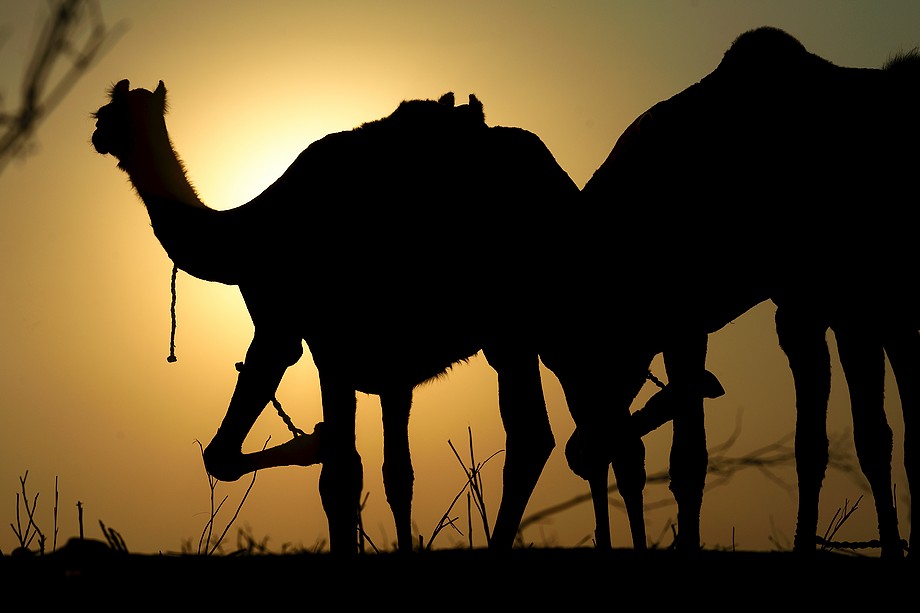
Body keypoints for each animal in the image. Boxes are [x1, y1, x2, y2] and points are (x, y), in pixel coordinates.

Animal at [91, 81, 582, 554]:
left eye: (106, 113)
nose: (97, 136)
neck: (242, 238)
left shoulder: (294, 333)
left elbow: (314, 471)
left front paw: (316, 440)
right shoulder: (387, 366)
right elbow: (394, 474)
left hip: (529, 318)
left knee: (540, 432)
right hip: (526, 329)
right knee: (550, 430)